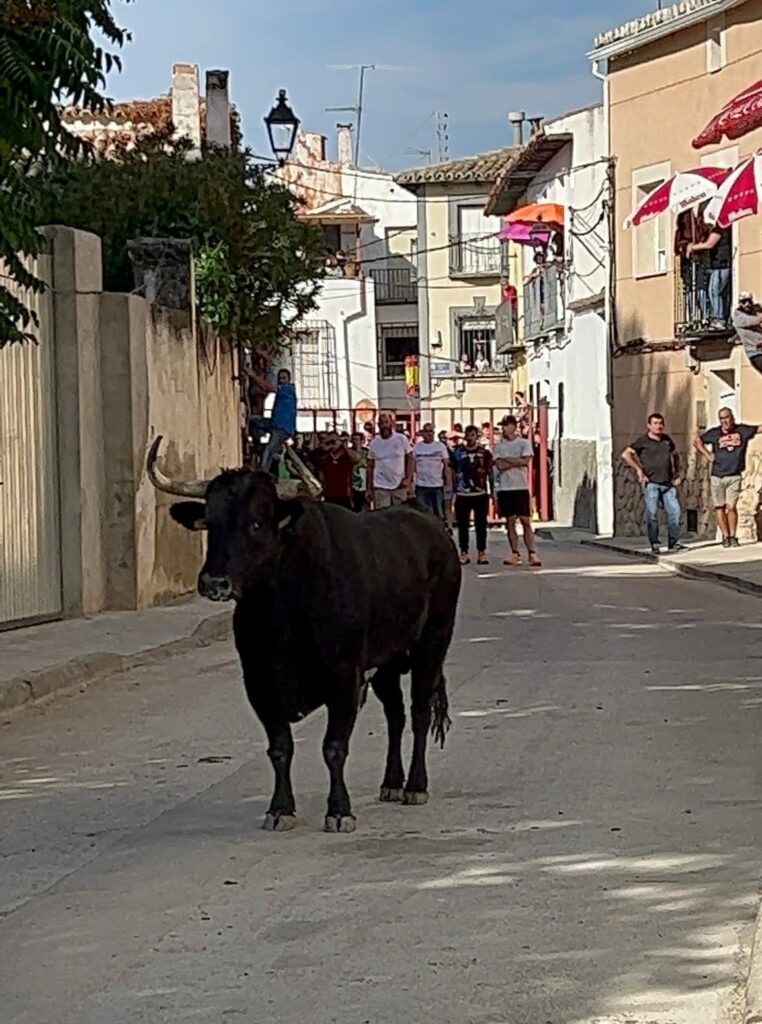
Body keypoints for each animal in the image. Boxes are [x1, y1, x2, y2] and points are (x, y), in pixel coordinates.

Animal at [148, 444, 458, 835]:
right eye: (210, 523)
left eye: (255, 522)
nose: (214, 582)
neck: (283, 608)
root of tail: (428, 521)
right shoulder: (259, 680)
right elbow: (280, 747)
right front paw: (281, 808)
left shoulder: (344, 675)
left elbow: (334, 746)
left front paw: (339, 811)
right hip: (385, 663)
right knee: (395, 715)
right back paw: (391, 783)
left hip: (433, 644)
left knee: (418, 712)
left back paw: (416, 786)